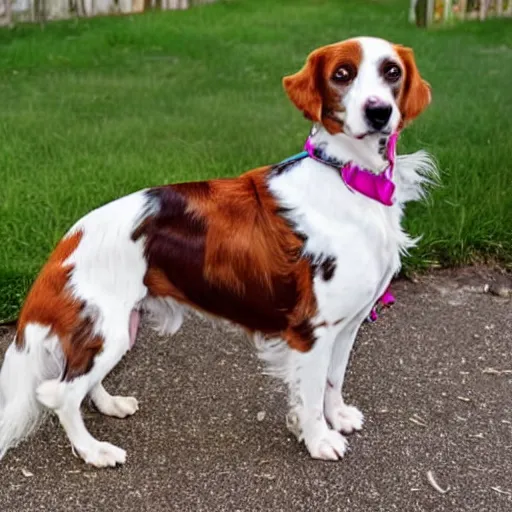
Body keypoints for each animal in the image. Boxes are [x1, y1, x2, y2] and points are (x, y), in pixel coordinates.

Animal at [0, 36, 436, 466]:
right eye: (342, 74)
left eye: (392, 71)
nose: (379, 112)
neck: (349, 178)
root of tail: (67, 242)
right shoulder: (312, 330)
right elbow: (310, 395)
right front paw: (319, 440)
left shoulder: (347, 324)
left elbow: (334, 378)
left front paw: (339, 417)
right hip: (109, 330)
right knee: (60, 393)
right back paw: (95, 452)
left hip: (120, 327)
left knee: (81, 380)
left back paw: (111, 404)